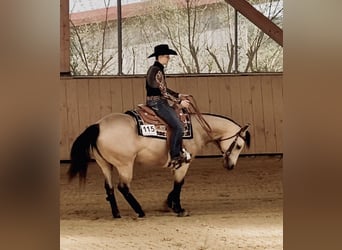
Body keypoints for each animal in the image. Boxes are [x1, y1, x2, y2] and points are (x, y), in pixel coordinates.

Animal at [68, 98, 250, 218]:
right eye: (239, 146)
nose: (230, 166)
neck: (197, 129)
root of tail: (97, 125)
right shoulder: (184, 163)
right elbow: (179, 184)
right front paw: (179, 209)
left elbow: (176, 185)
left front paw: (169, 204)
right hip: (124, 165)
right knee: (123, 187)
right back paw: (140, 211)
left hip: (105, 164)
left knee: (109, 188)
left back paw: (117, 213)